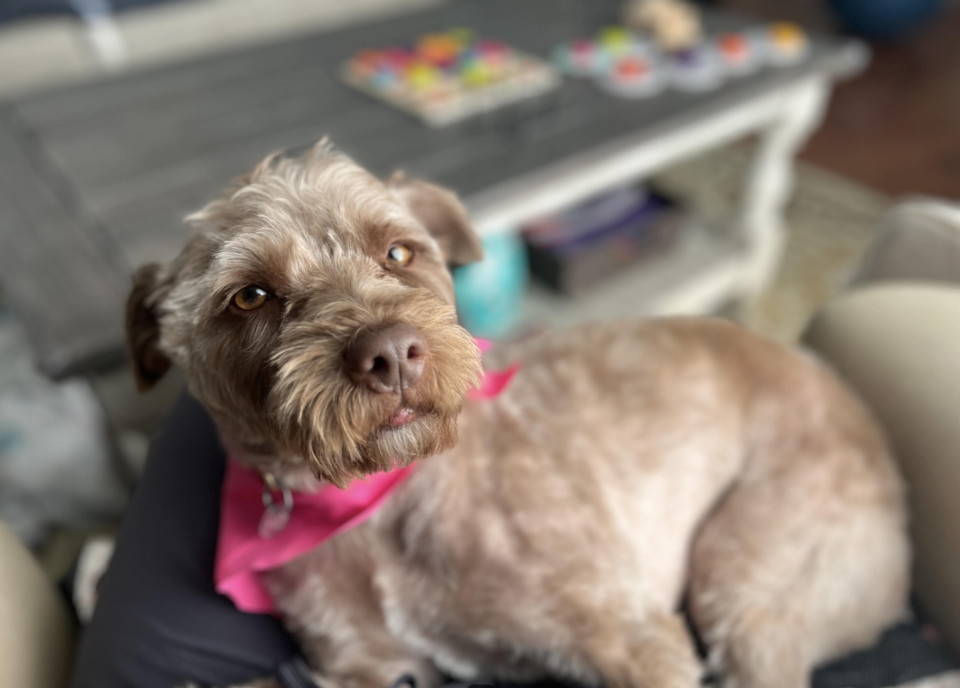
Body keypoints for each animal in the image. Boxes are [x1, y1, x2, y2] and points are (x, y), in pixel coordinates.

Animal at [125, 142, 908, 688]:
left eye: (399, 251)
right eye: (249, 296)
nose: (391, 354)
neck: (377, 504)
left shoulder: (634, 637)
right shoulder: (366, 665)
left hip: (747, 581)